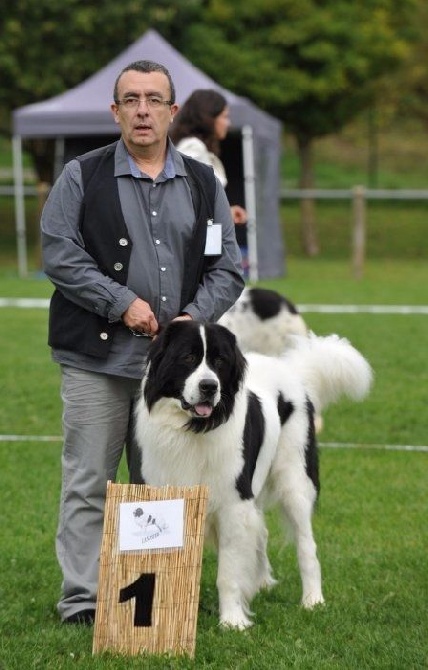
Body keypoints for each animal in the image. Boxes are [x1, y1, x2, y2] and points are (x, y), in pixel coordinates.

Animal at [135, 322, 372, 632]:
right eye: (187, 358)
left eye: (220, 362)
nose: (209, 386)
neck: (192, 429)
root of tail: (290, 369)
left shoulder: (233, 503)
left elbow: (228, 572)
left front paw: (233, 620)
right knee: (261, 531)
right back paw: (260, 583)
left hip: (294, 480)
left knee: (306, 543)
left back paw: (312, 600)